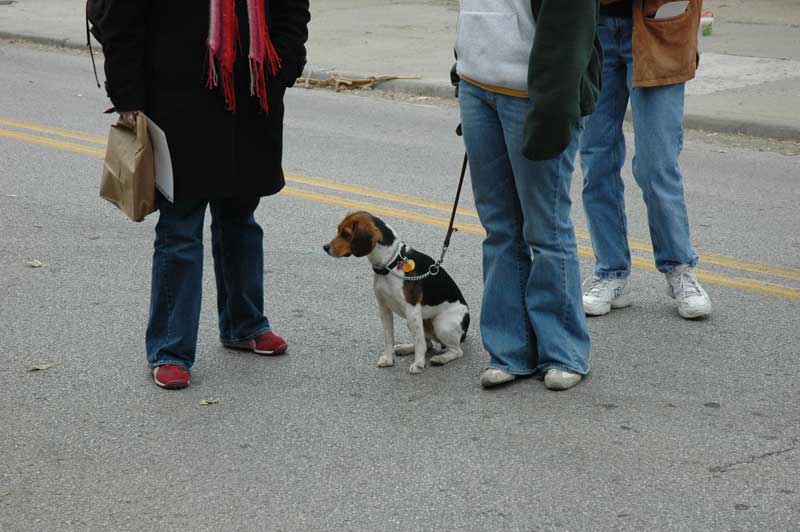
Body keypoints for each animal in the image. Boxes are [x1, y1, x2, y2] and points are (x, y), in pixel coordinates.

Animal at [322, 210, 468, 372]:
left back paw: (441, 358)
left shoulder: (412, 310)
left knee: (455, 350)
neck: (391, 264)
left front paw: (418, 363)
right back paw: (406, 348)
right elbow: (389, 337)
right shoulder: (384, 308)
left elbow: (419, 342)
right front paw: (388, 358)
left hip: (441, 324)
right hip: (419, 322)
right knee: (428, 343)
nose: (325, 247)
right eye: (338, 230)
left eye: (346, 234)